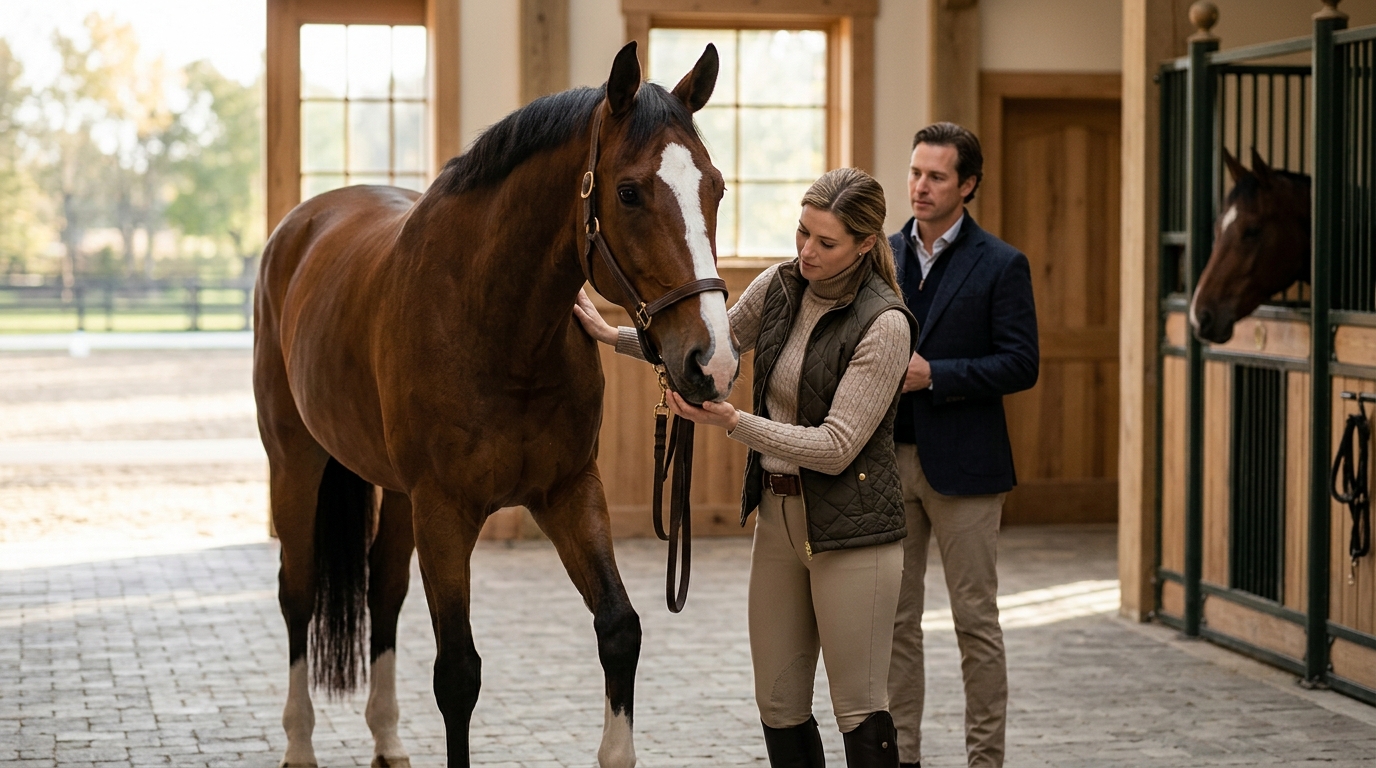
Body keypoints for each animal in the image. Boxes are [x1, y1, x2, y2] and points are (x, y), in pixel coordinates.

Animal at [253, 41, 737, 768]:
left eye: (716, 187)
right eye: (628, 192)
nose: (712, 361)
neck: (499, 328)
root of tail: (300, 226)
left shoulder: (569, 492)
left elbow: (619, 629)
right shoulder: (446, 511)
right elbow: (457, 672)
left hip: (397, 494)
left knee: (383, 594)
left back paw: (387, 738)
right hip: (296, 462)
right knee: (298, 594)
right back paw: (300, 744)